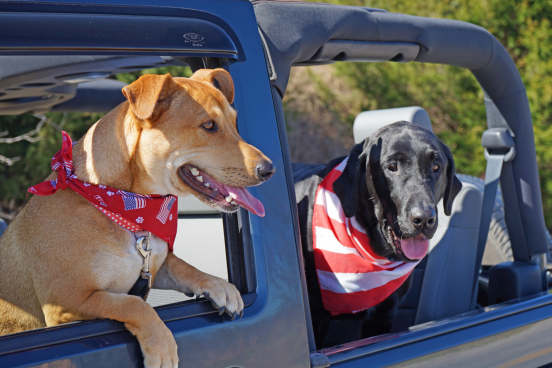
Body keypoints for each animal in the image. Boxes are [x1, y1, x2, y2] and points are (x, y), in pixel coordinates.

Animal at [0, 69, 274, 368]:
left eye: (234, 123)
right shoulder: (66, 304)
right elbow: (132, 304)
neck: (126, 209)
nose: (268, 170)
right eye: (209, 125)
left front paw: (220, 286)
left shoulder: (154, 264)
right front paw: (162, 346)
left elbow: (183, 267)